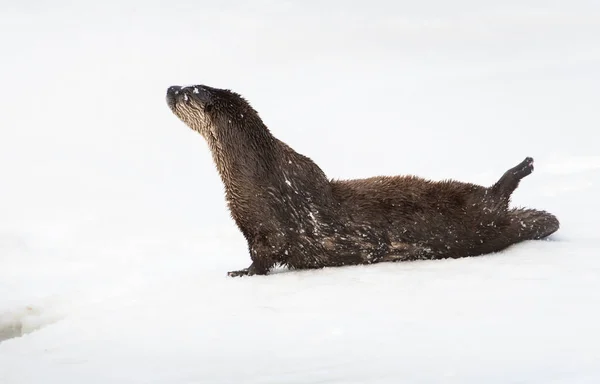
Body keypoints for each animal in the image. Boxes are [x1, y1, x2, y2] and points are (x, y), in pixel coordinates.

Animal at [163, 85, 556, 276]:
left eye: (188, 91)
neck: (255, 173)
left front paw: (240, 273)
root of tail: (504, 226)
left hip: (469, 205)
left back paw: (524, 165)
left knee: (494, 195)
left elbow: (262, 256)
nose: (169, 86)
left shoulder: (263, 227)